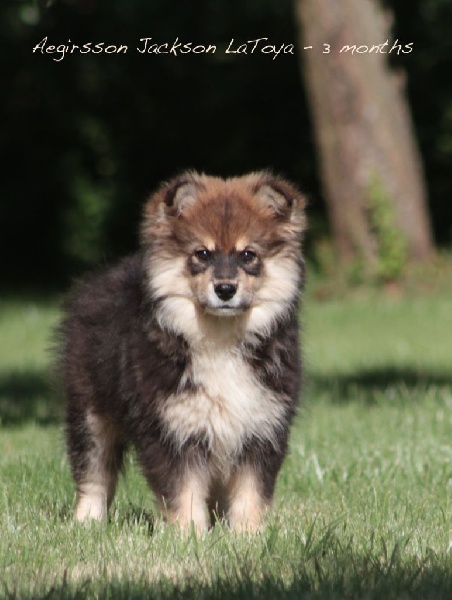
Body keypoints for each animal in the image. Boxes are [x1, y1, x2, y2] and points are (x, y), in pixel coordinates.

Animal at [58, 171, 306, 532]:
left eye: (248, 255)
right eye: (202, 253)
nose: (225, 289)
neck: (220, 339)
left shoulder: (261, 427)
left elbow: (250, 494)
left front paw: (247, 536)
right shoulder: (173, 430)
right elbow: (183, 492)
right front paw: (190, 536)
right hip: (90, 414)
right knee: (93, 474)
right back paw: (87, 523)